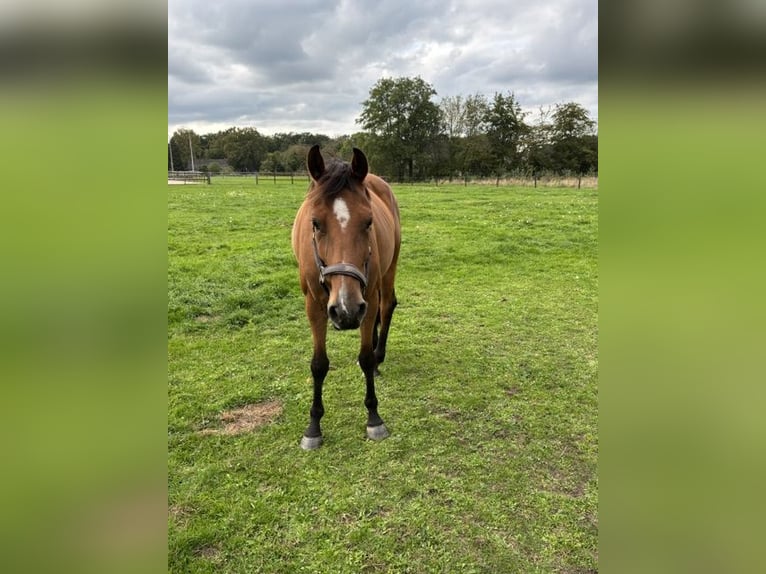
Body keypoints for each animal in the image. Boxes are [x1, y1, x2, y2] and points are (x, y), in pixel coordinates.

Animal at [291, 145, 401, 450]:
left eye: (368, 222)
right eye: (315, 223)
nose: (346, 310)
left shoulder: (367, 297)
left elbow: (365, 357)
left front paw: (374, 419)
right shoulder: (314, 304)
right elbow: (319, 364)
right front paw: (313, 427)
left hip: (387, 273)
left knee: (387, 306)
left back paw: (379, 354)